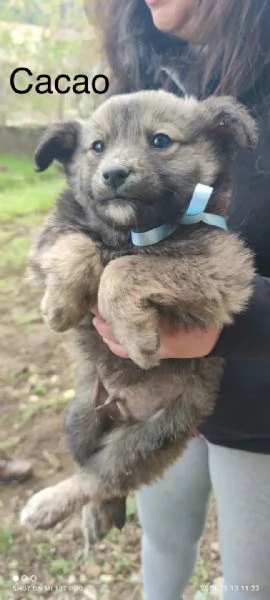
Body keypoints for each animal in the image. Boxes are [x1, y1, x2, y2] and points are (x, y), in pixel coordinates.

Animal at [20, 90, 255, 544]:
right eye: (97, 147)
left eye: (160, 141)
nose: (113, 173)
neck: (128, 233)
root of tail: (122, 409)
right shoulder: (52, 235)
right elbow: (77, 243)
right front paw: (60, 304)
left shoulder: (222, 267)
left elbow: (127, 268)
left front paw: (136, 335)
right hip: (80, 417)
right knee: (91, 469)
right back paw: (84, 513)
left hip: (151, 437)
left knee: (104, 476)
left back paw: (53, 506)